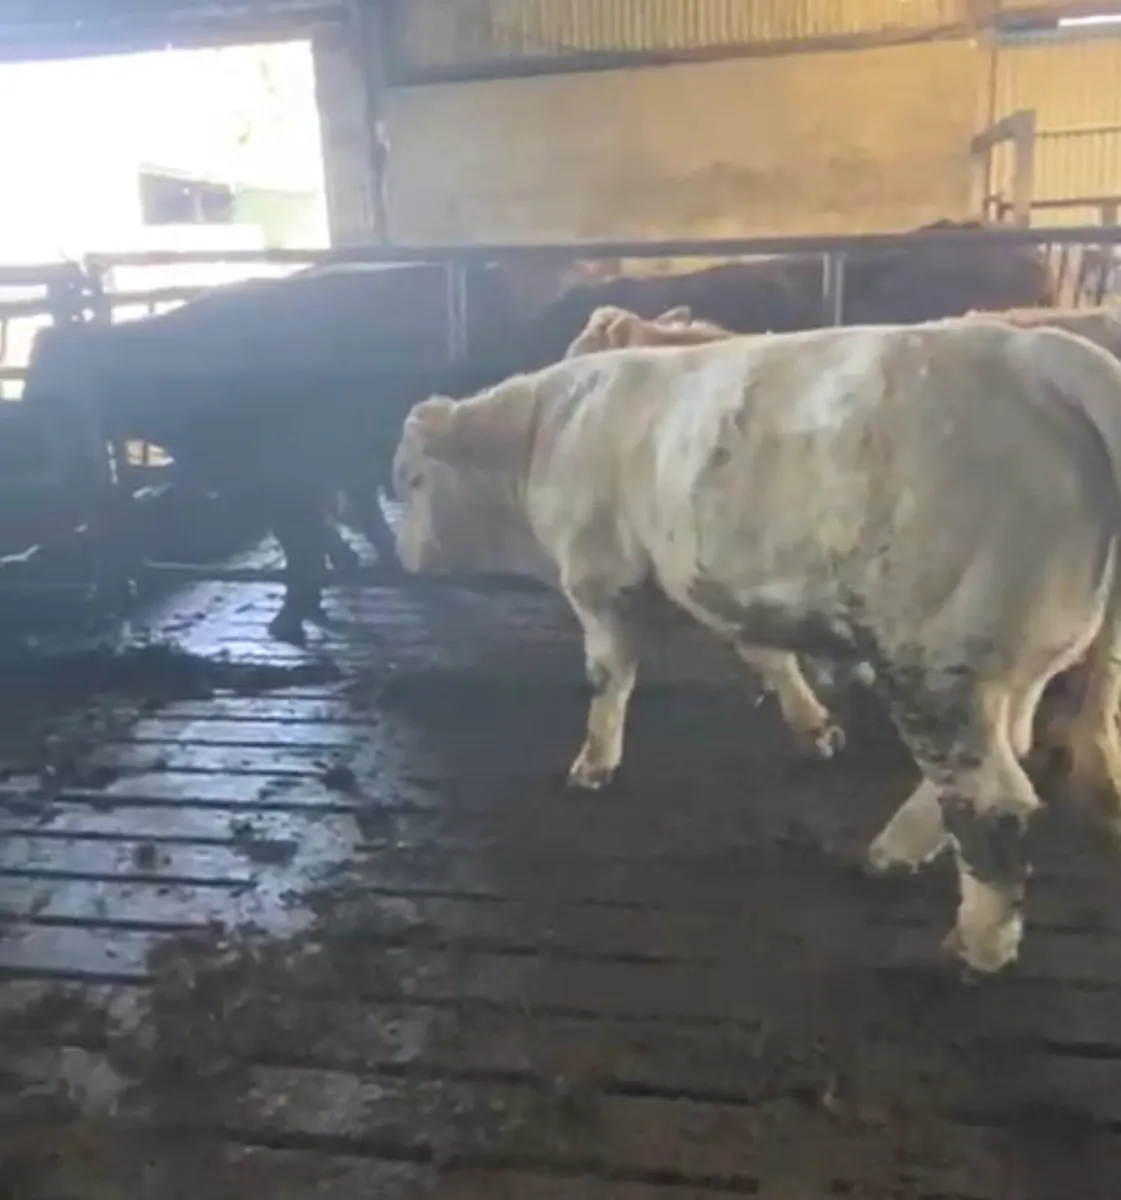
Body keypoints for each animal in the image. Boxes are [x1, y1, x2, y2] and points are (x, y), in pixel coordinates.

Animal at [391, 318, 1121, 975]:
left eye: (410, 480)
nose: (403, 552)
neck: (545, 431)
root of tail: (1039, 352)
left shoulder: (600, 579)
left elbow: (609, 676)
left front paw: (594, 763)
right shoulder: (711, 585)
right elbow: (767, 655)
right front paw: (813, 727)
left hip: (939, 666)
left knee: (992, 802)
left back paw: (978, 944)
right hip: (1013, 664)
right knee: (999, 757)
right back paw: (895, 852)